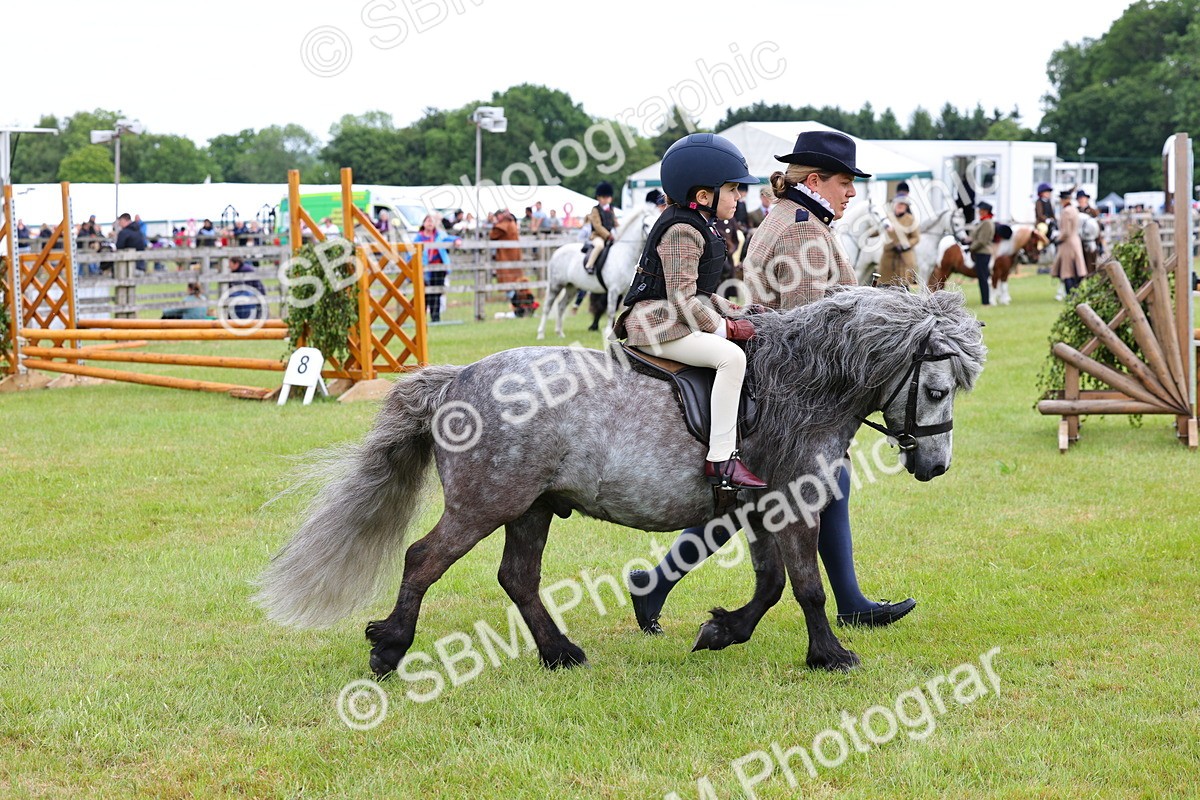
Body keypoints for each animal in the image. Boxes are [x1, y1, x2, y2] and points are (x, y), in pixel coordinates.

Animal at [253, 287, 987, 677]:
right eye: (938, 387)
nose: (936, 466)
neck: (800, 384)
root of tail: (458, 380)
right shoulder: (790, 502)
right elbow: (805, 584)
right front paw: (831, 654)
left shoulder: (757, 509)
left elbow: (772, 584)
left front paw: (723, 631)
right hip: (486, 503)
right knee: (422, 559)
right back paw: (390, 647)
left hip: (533, 507)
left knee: (517, 577)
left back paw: (560, 652)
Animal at [536, 206, 647, 339]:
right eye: (646, 224)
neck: (625, 255)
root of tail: (557, 251)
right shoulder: (613, 290)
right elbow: (610, 311)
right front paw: (608, 333)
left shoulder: (626, 292)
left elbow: (623, 311)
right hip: (556, 285)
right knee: (547, 307)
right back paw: (541, 334)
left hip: (571, 288)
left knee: (561, 306)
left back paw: (560, 333)